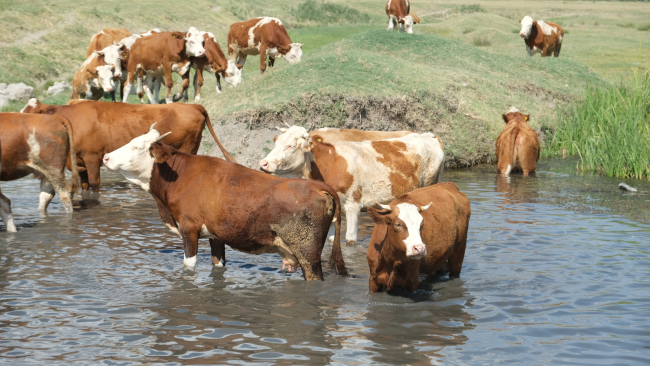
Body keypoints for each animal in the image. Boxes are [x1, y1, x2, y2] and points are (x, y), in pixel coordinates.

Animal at [19, 98, 237, 193]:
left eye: (30, 114)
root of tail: (191, 105)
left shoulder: (92, 158)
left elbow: (95, 184)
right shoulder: (80, 164)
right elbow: (85, 186)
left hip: (187, 149)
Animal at [101, 129, 346, 280]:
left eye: (136, 147)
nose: (105, 157)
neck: (180, 176)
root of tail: (319, 186)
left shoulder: (189, 231)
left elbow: (188, 266)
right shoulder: (216, 236)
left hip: (308, 255)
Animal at [260, 125, 442, 246]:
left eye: (290, 146)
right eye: (276, 143)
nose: (263, 163)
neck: (329, 163)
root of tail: (428, 135)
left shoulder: (353, 205)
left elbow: (350, 240)